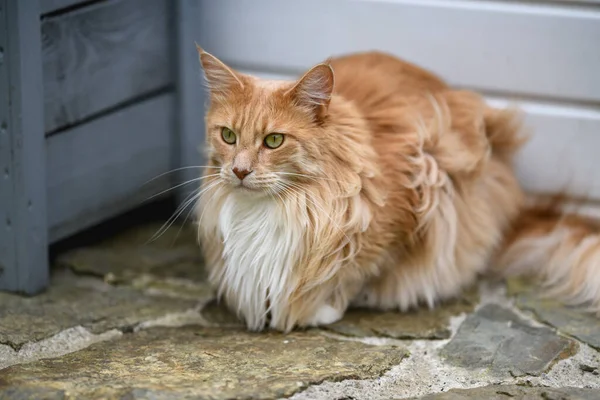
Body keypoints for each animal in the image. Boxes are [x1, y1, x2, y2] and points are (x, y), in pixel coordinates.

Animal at [193, 44, 600, 332]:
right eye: (228, 136)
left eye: (274, 141)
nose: (239, 170)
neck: (284, 207)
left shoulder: (416, 196)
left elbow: (357, 272)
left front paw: (321, 308)